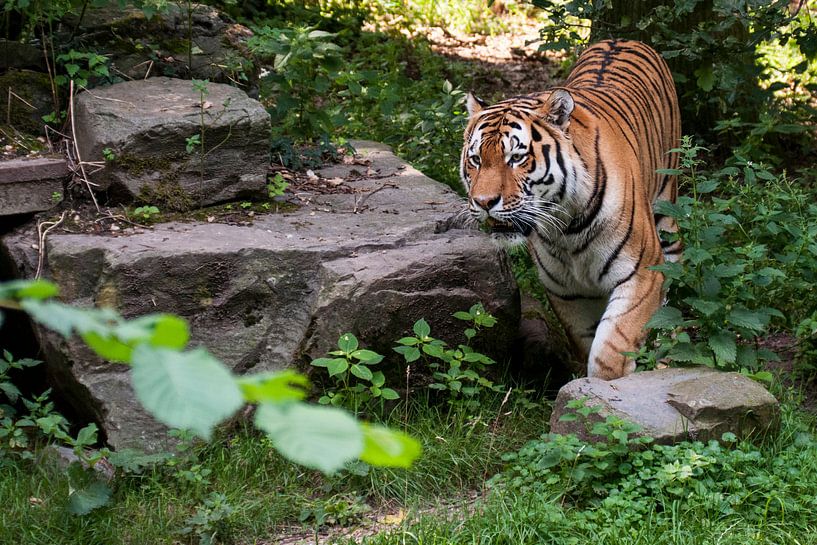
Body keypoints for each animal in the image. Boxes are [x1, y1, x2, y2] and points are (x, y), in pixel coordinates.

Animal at [460, 39, 682, 380]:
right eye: (476, 160)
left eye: (516, 158)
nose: (484, 202)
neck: (567, 227)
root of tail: (625, 39)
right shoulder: (566, 290)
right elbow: (585, 340)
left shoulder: (642, 273)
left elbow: (610, 351)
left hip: (667, 214)